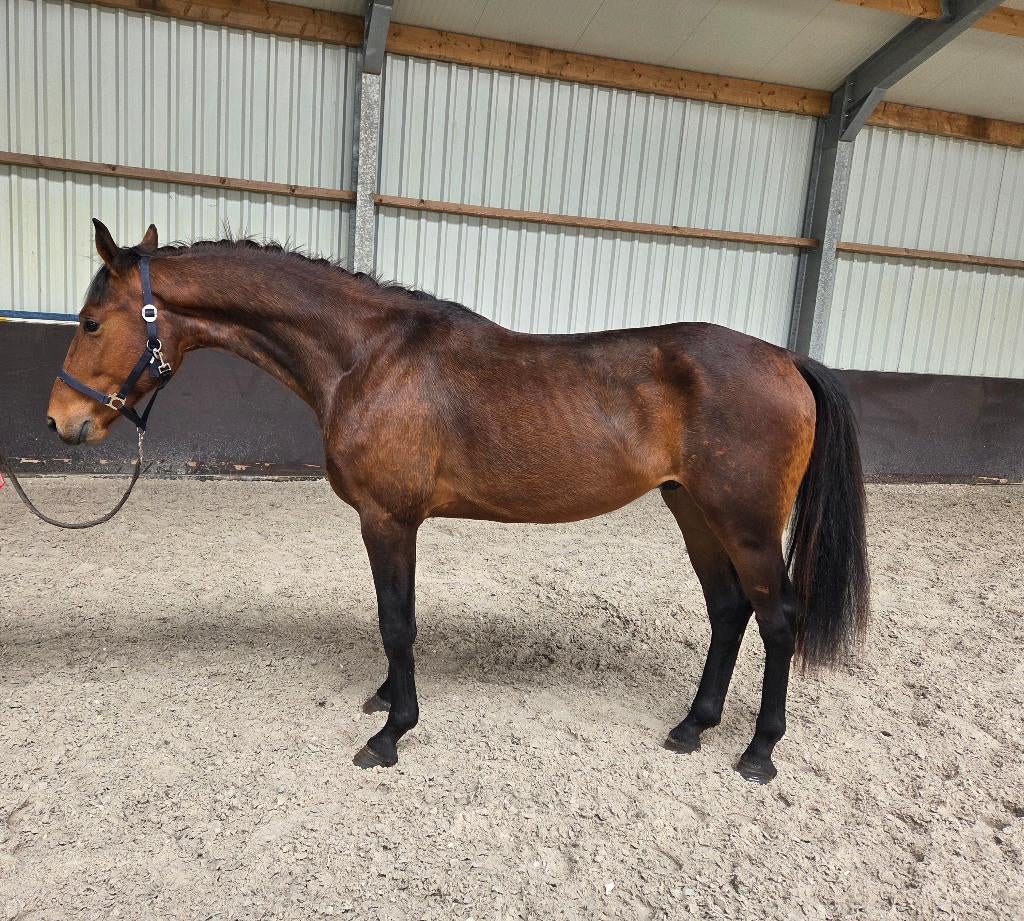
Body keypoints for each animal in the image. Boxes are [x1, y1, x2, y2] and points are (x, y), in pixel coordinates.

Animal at [45, 220, 869, 783]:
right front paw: (385, 698)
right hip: (693, 510)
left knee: (778, 618)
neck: (368, 356)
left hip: (747, 524)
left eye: (90, 322)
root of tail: (786, 358)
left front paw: (392, 733)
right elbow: (395, 619)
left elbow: (397, 620)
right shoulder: (393, 523)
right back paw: (693, 726)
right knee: (729, 612)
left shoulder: (387, 519)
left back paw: (758, 751)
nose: (61, 421)